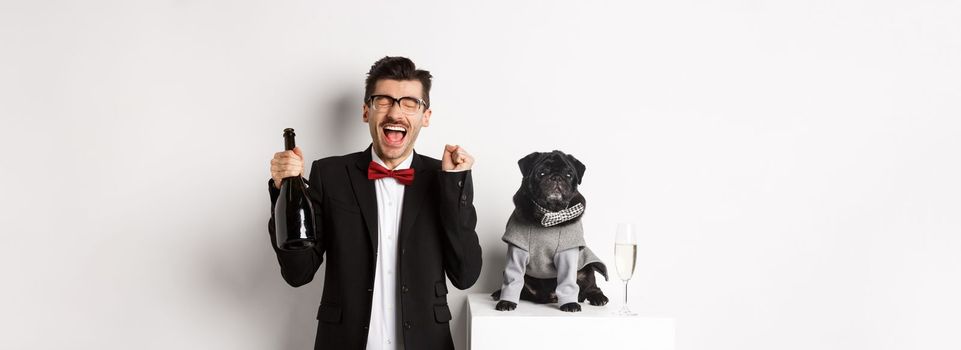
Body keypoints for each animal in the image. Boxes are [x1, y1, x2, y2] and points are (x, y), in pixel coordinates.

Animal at [496, 150, 608, 312]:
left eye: (569, 175)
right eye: (541, 173)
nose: (556, 177)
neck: (549, 214)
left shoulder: (567, 253)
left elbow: (567, 282)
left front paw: (569, 304)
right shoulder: (517, 250)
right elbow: (513, 279)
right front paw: (506, 301)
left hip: (586, 270)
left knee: (591, 287)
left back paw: (598, 297)